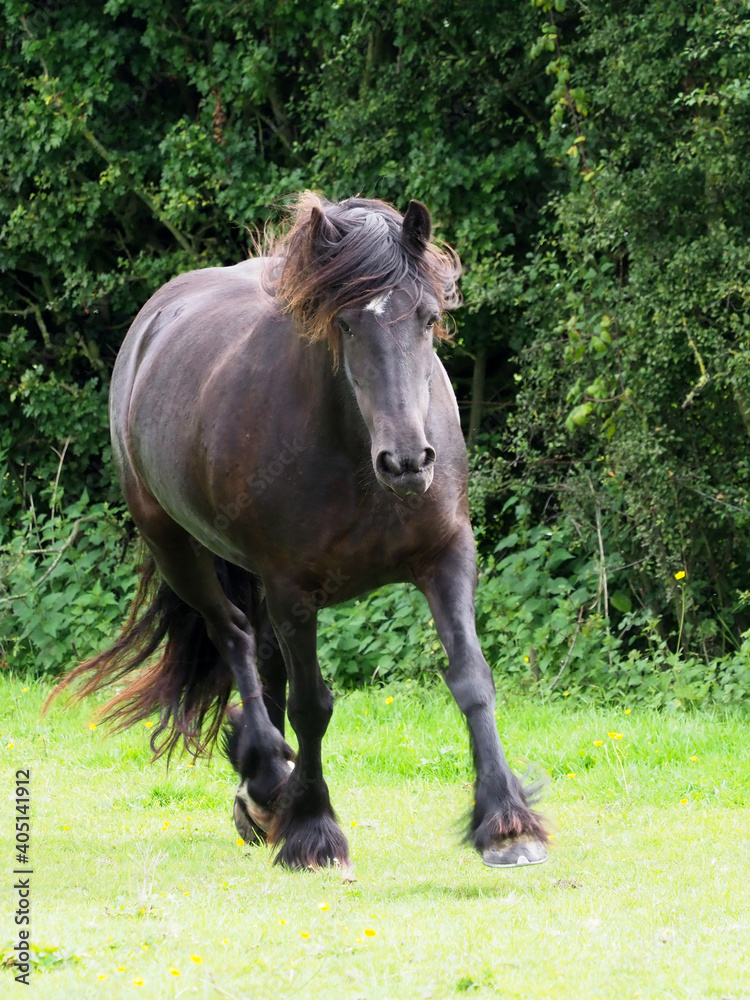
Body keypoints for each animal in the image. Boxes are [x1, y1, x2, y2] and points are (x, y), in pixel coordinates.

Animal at [49, 192, 548, 874]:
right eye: (345, 324)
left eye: (427, 317)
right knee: (235, 639)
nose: (407, 463)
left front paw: (506, 823)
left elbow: (472, 678)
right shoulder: (293, 589)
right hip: (178, 550)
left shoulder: (446, 557)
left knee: (262, 659)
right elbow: (312, 706)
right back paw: (266, 780)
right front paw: (313, 832)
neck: (354, 452)